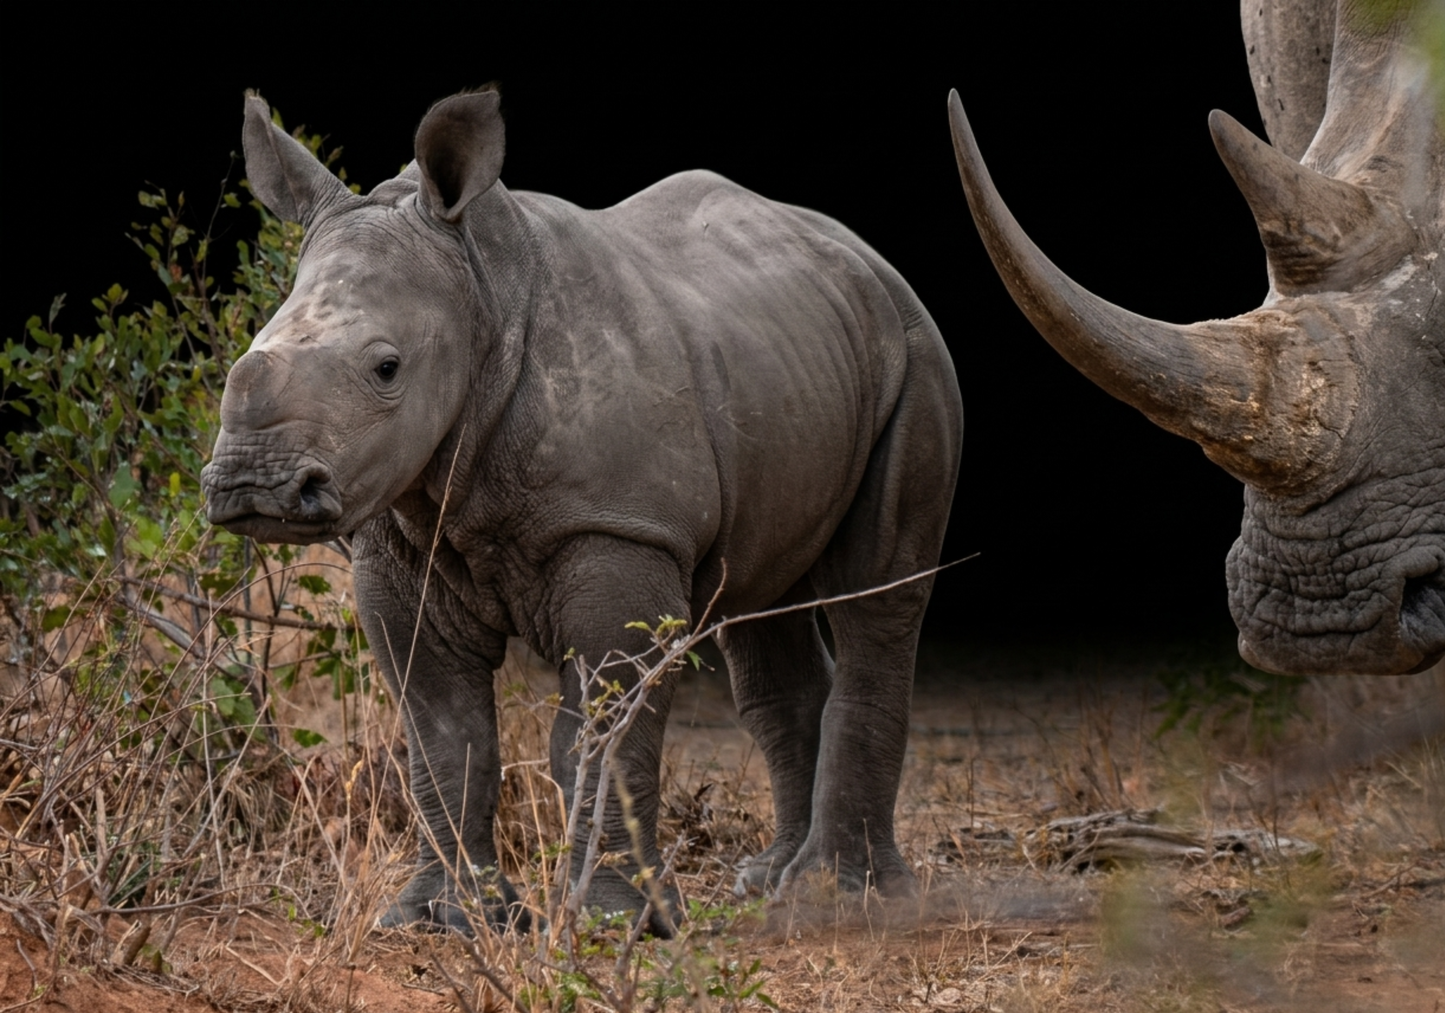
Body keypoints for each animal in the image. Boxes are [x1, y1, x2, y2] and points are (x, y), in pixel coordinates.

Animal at [201, 89, 962, 932]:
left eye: (386, 368)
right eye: (245, 350)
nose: (252, 486)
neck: (480, 296)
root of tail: (864, 257)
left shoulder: (621, 528)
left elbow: (599, 730)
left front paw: (616, 919)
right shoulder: (400, 547)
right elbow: (442, 734)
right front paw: (443, 917)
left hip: (916, 351)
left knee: (879, 591)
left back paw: (841, 893)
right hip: (790, 354)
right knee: (761, 599)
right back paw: (768, 880)